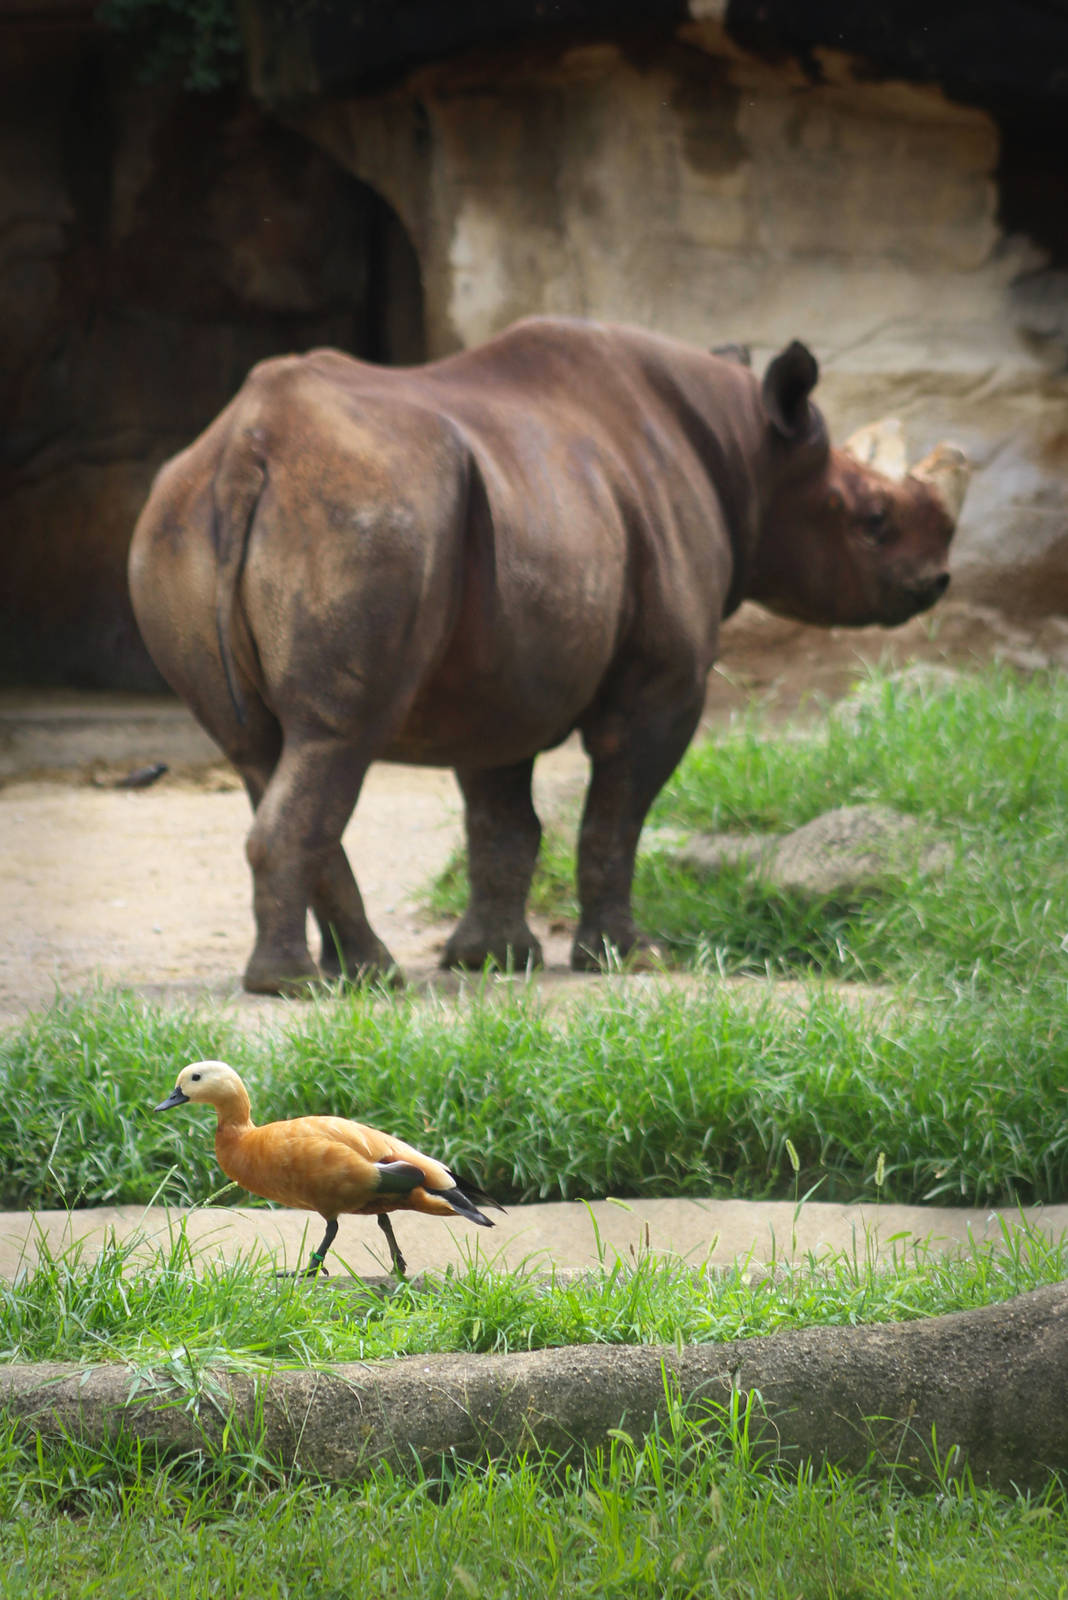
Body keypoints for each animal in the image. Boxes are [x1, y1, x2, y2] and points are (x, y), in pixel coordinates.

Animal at [128, 317, 969, 994]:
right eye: (873, 519)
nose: (936, 583)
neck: (749, 451)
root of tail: (247, 450)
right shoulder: (662, 684)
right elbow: (614, 817)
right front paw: (628, 959)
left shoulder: (499, 672)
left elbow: (502, 820)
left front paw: (493, 962)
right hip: (361, 514)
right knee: (336, 736)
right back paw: (299, 988)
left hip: (178, 523)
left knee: (263, 748)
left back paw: (365, 976)